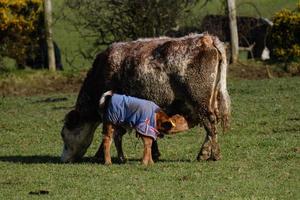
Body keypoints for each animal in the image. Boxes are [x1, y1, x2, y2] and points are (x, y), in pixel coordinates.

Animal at [59, 33, 231, 163]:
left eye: (63, 134)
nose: (63, 159)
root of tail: (206, 38)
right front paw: (154, 152)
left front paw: (99, 155)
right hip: (211, 100)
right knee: (212, 123)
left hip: (199, 101)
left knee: (210, 122)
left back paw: (211, 154)